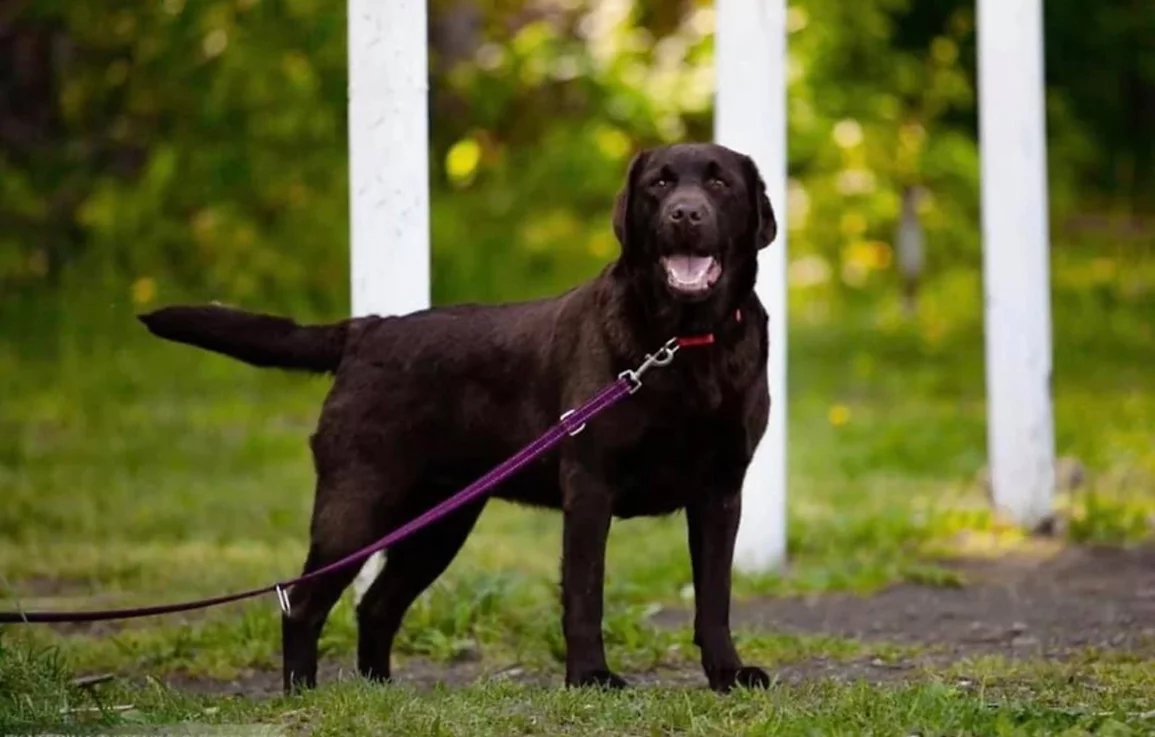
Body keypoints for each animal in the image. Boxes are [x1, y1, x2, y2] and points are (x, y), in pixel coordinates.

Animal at [142, 141, 776, 697]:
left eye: (719, 183)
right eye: (659, 185)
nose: (685, 214)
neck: (684, 343)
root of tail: (367, 329)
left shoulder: (722, 492)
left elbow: (714, 597)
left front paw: (728, 674)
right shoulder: (590, 487)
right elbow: (585, 595)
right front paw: (591, 679)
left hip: (440, 522)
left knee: (375, 605)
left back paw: (379, 694)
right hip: (357, 506)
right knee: (304, 603)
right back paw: (303, 694)